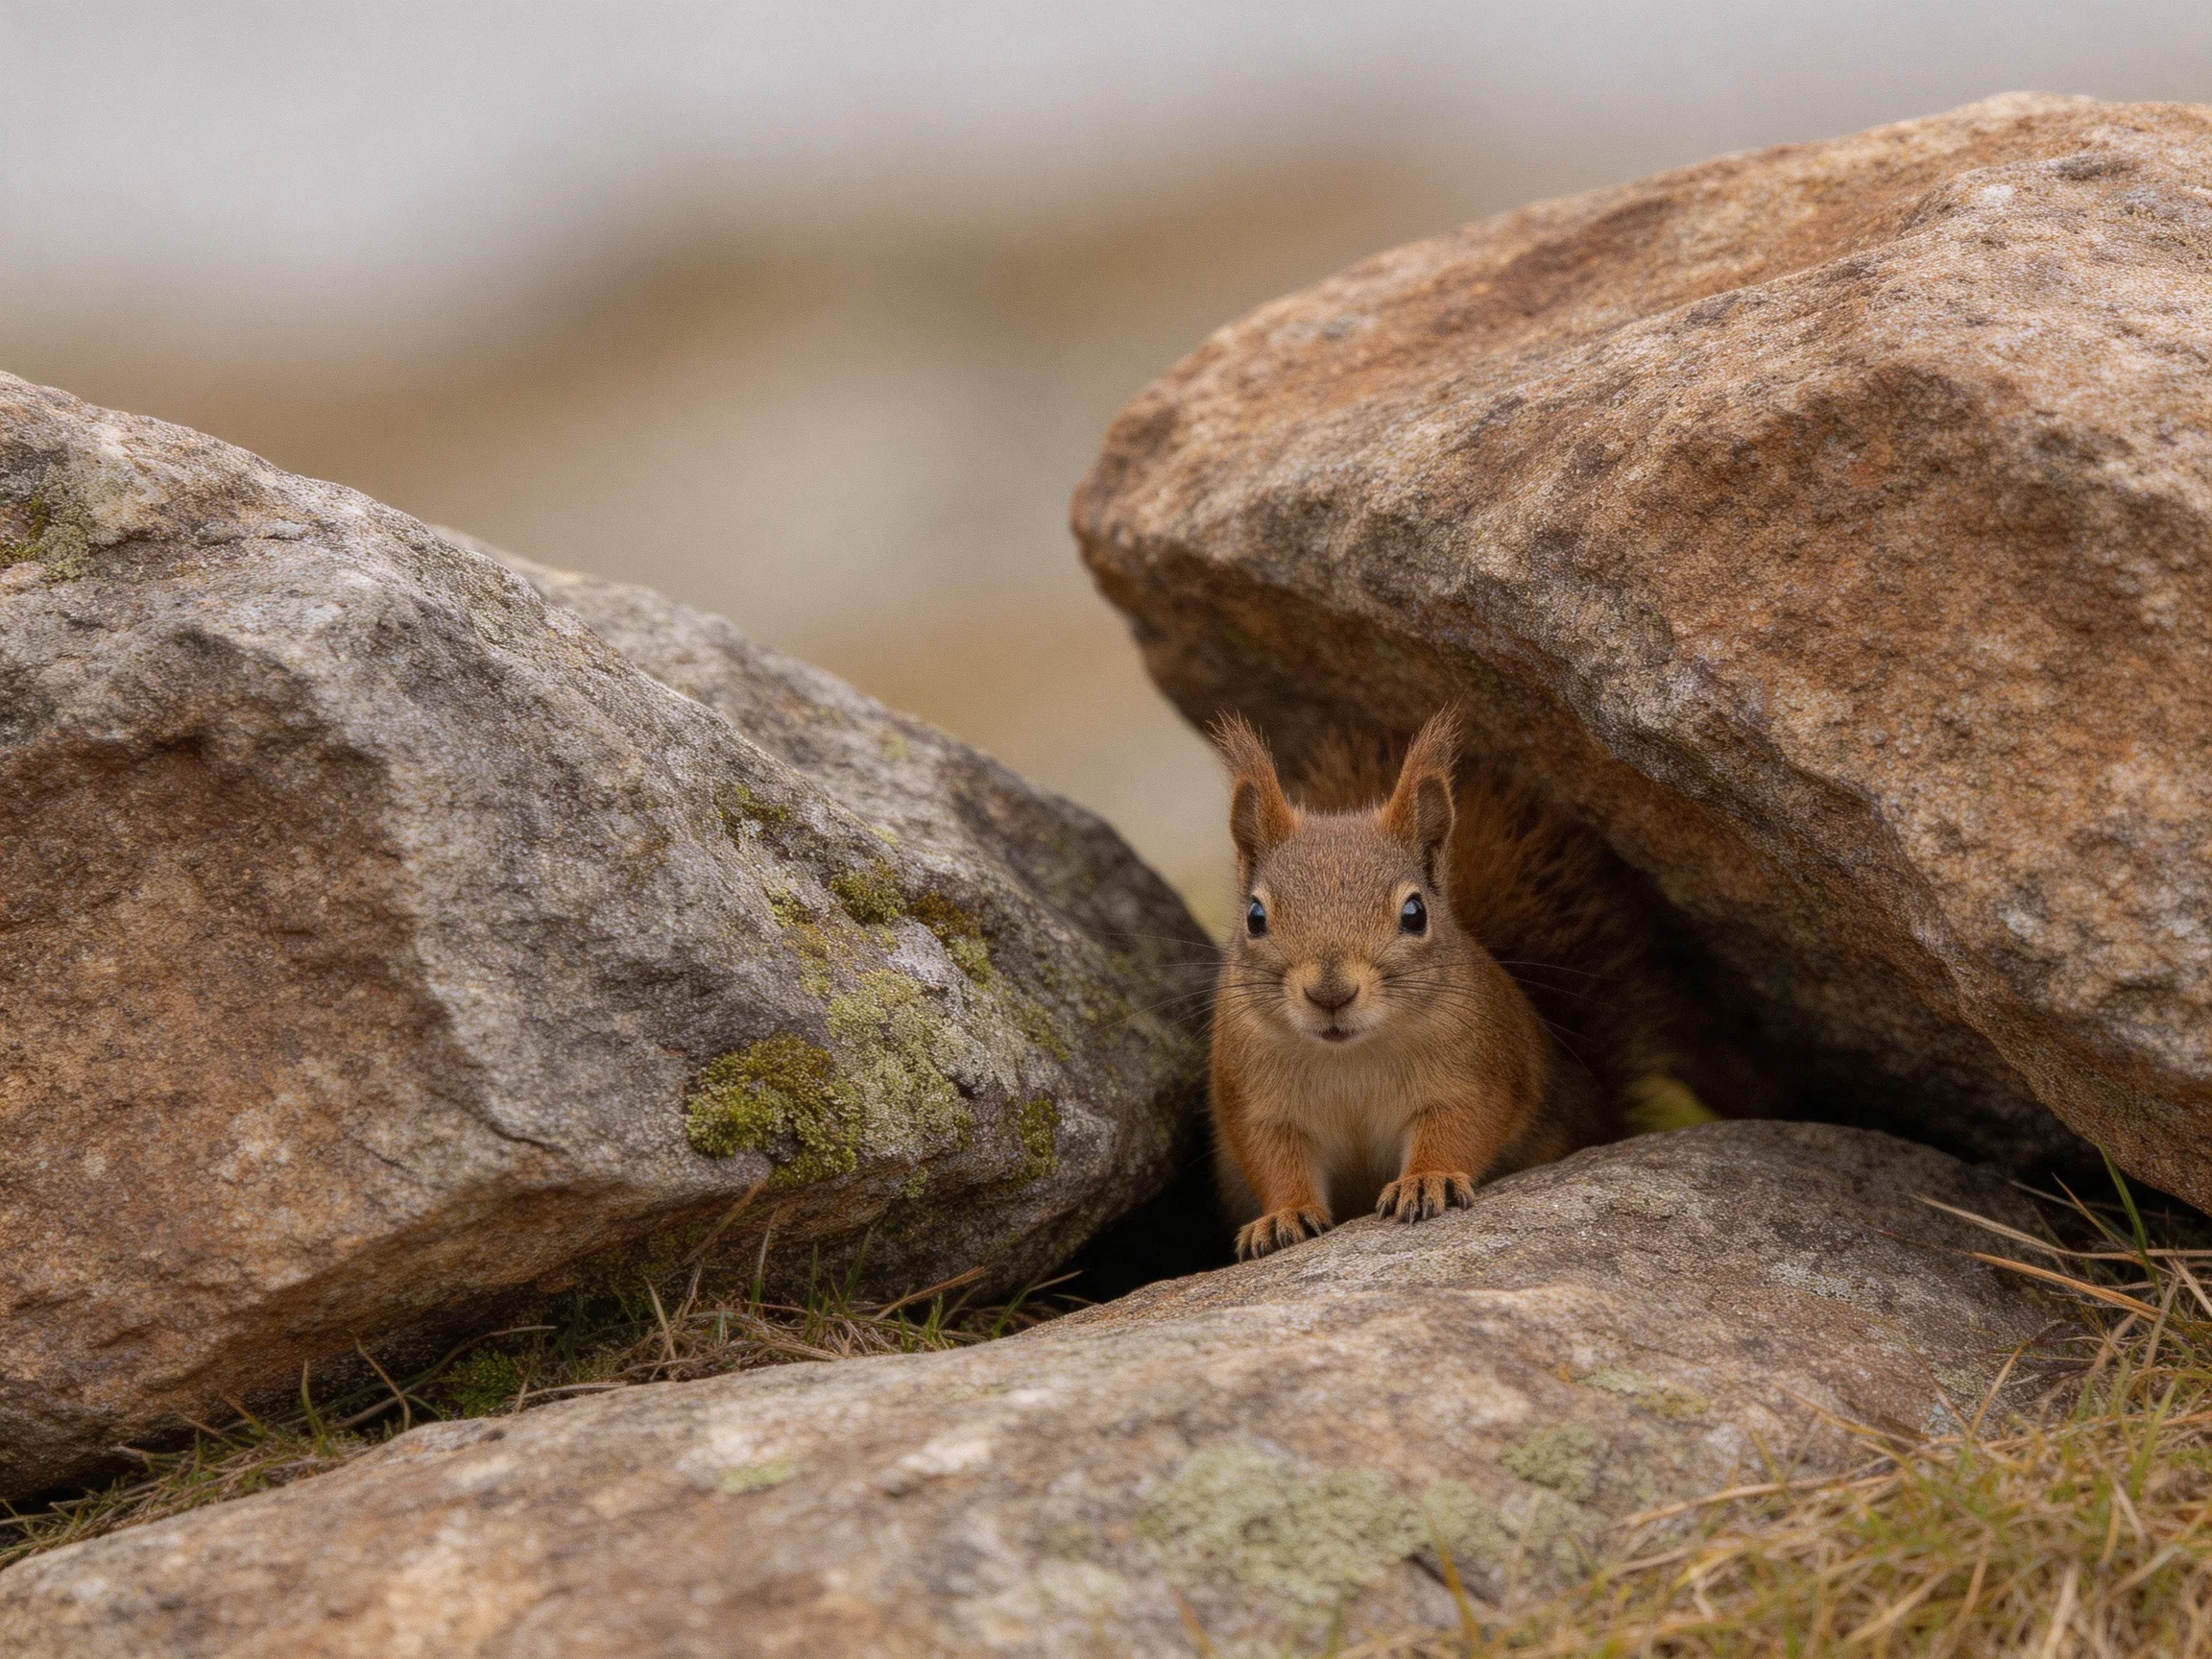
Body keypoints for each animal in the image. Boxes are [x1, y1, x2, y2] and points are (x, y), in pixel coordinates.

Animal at [1208, 707, 1724, 1260]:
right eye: (1256, 917)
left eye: (1415, 913)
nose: (1331, 994)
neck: (1350, 1056)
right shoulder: (1254, 1100)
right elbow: (1274, 1160)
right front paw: (1284, 1215)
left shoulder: (1480, 1074)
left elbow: (1459, 1128)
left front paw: (1425, 1180)